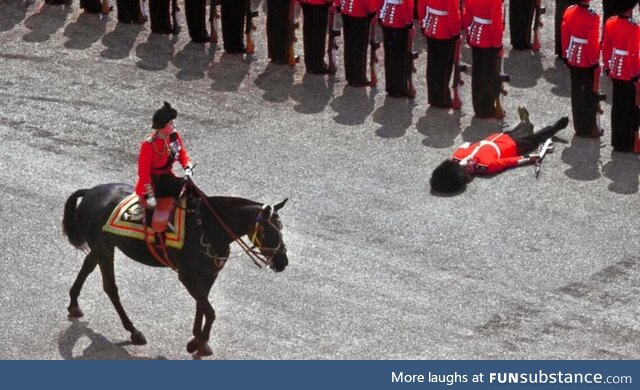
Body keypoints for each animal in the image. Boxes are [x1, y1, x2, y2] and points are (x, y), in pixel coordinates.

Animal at [62, 183, 288, 356]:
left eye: (281, 228)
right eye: (268, 231)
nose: (282, 262)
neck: (207, 227)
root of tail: (90, 191)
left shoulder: (208, 275)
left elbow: (202, 306)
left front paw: (198, 338)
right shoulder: (187, 277)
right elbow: (210, 311)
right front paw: (199, 342)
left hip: (101, 247)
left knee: (87, 267)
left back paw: (74, 303)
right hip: (104, 248)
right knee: (110, 287)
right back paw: (134, 331)